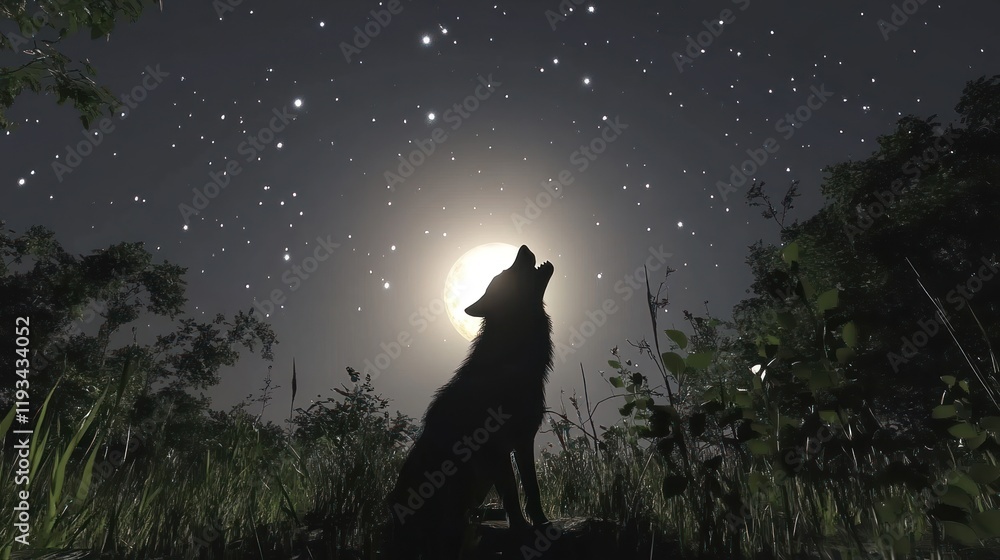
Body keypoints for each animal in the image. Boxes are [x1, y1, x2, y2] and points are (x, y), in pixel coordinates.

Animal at [386, 245, 555, 559]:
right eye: (505, 274)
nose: (523, 248)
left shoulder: (523, 440)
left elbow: (531, 487)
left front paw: (541, 523)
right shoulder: (496, 447)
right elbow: (512, 491)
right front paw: (521, 530)